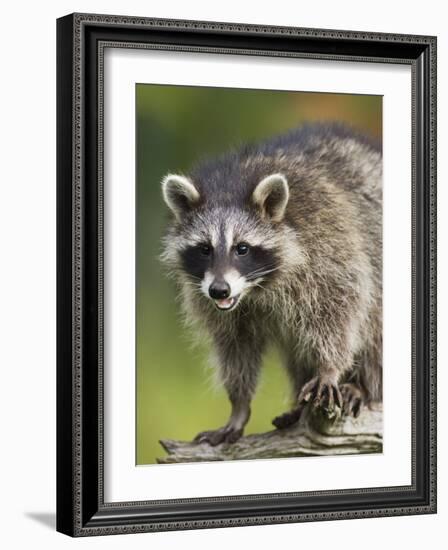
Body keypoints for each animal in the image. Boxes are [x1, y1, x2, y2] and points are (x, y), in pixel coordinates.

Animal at [161, 123, 382, 446]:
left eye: (242, 248)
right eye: (204, 249)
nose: (220, 290)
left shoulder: (329, 246)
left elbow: (342, 308)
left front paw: (329, 368)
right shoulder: (211, 300)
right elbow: (235, 347)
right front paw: (239, 405)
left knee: (374, 325)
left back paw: (364, 387)